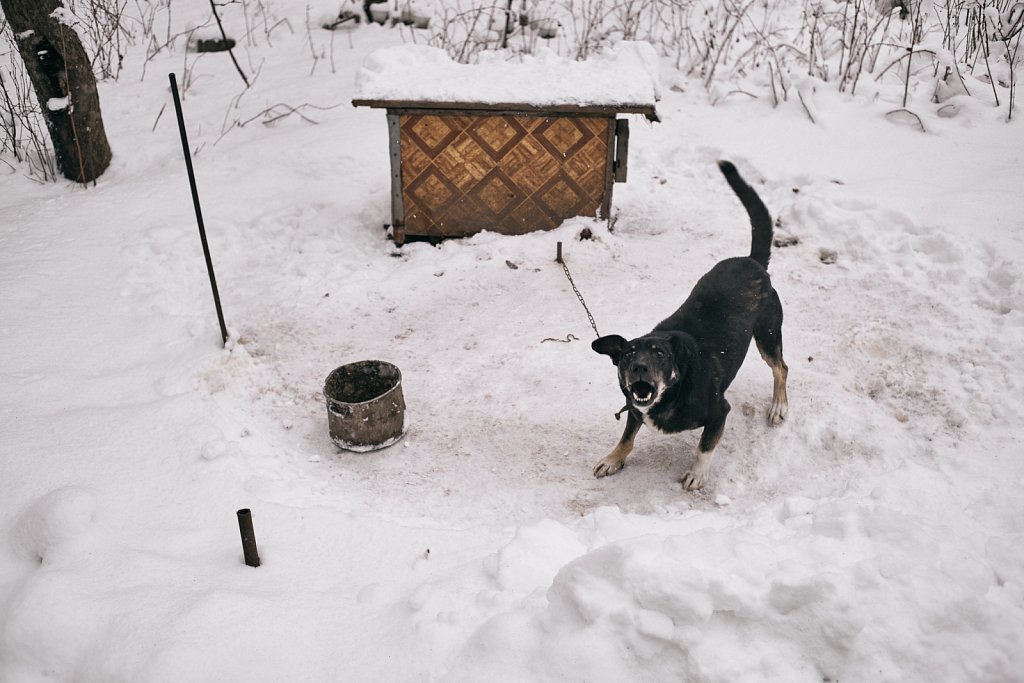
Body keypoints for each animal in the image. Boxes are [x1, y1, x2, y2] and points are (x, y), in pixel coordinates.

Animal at [593, 161, 782, 491]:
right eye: (628, 354)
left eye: (659, 354)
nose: (639, 367)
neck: (674, 388)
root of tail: (752, 261)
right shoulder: (634, 408)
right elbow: (627, 437)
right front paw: (613, 459)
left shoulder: (720, 411)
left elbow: (705, 446)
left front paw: (697, 473)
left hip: (768, 335)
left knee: (781, 368)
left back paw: (778, 407)